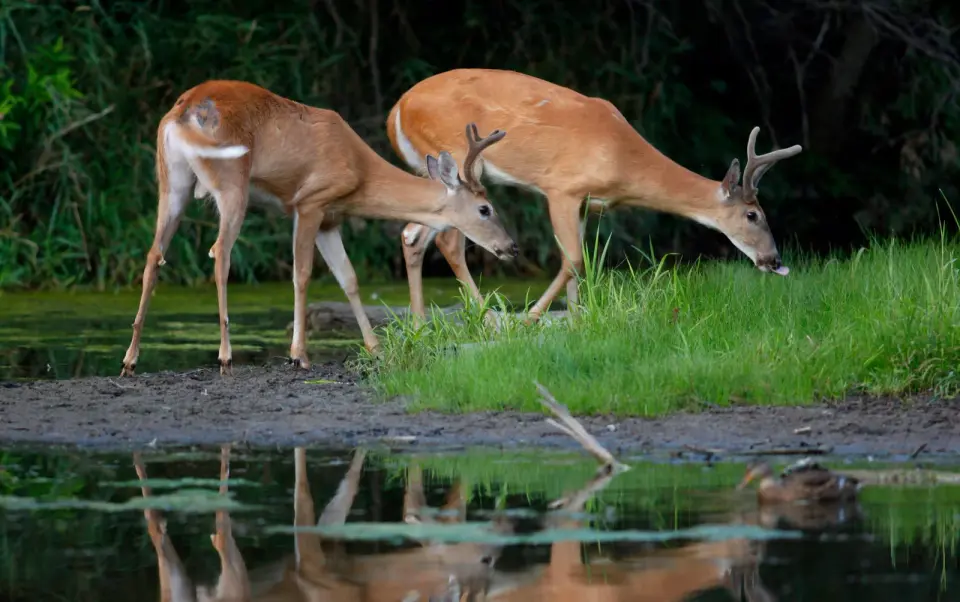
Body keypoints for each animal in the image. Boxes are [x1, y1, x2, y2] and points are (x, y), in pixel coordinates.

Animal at [120, 79, 517, 377]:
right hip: (232, 182)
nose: (511, 247)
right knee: (221, 253)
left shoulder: (330, 218)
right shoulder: (309, 202)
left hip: (172, 180)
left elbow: (349, 278)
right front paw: (299, 355)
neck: (359, 172)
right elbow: (303, 274)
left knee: (154, 255)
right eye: (485, 208)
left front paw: (375, 349)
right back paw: (225, 356)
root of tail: (184, 109)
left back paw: (130, 359)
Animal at [386, 68, 802, 323]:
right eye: (753, 215)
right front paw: (531, 320)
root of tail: (397, 109)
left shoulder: (586, 202)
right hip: (455, 157)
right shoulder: (561, 187)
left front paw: (575, 319)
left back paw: (421, 323)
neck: (622, 158)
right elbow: (571, 258)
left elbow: (580, 262)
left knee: (412, 234)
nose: (774, 260)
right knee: (447, 242)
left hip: (430, 171)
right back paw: (490, 320)